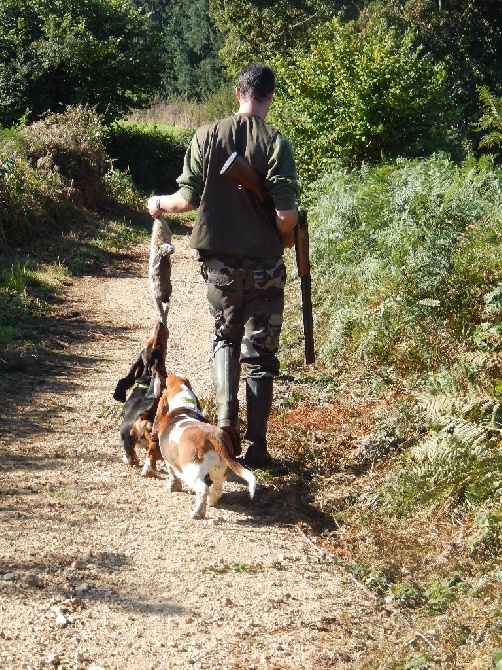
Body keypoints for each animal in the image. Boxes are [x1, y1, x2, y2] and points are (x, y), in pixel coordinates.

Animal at [151, 376, 256, 524]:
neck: (184, 405)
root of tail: (213, 436)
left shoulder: (168, 461)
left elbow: (172, 474)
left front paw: (172, 487)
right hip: (220, 469)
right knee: (217, 488)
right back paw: (211, 500)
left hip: (191, 471)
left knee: (202, 489)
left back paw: (197, 513)